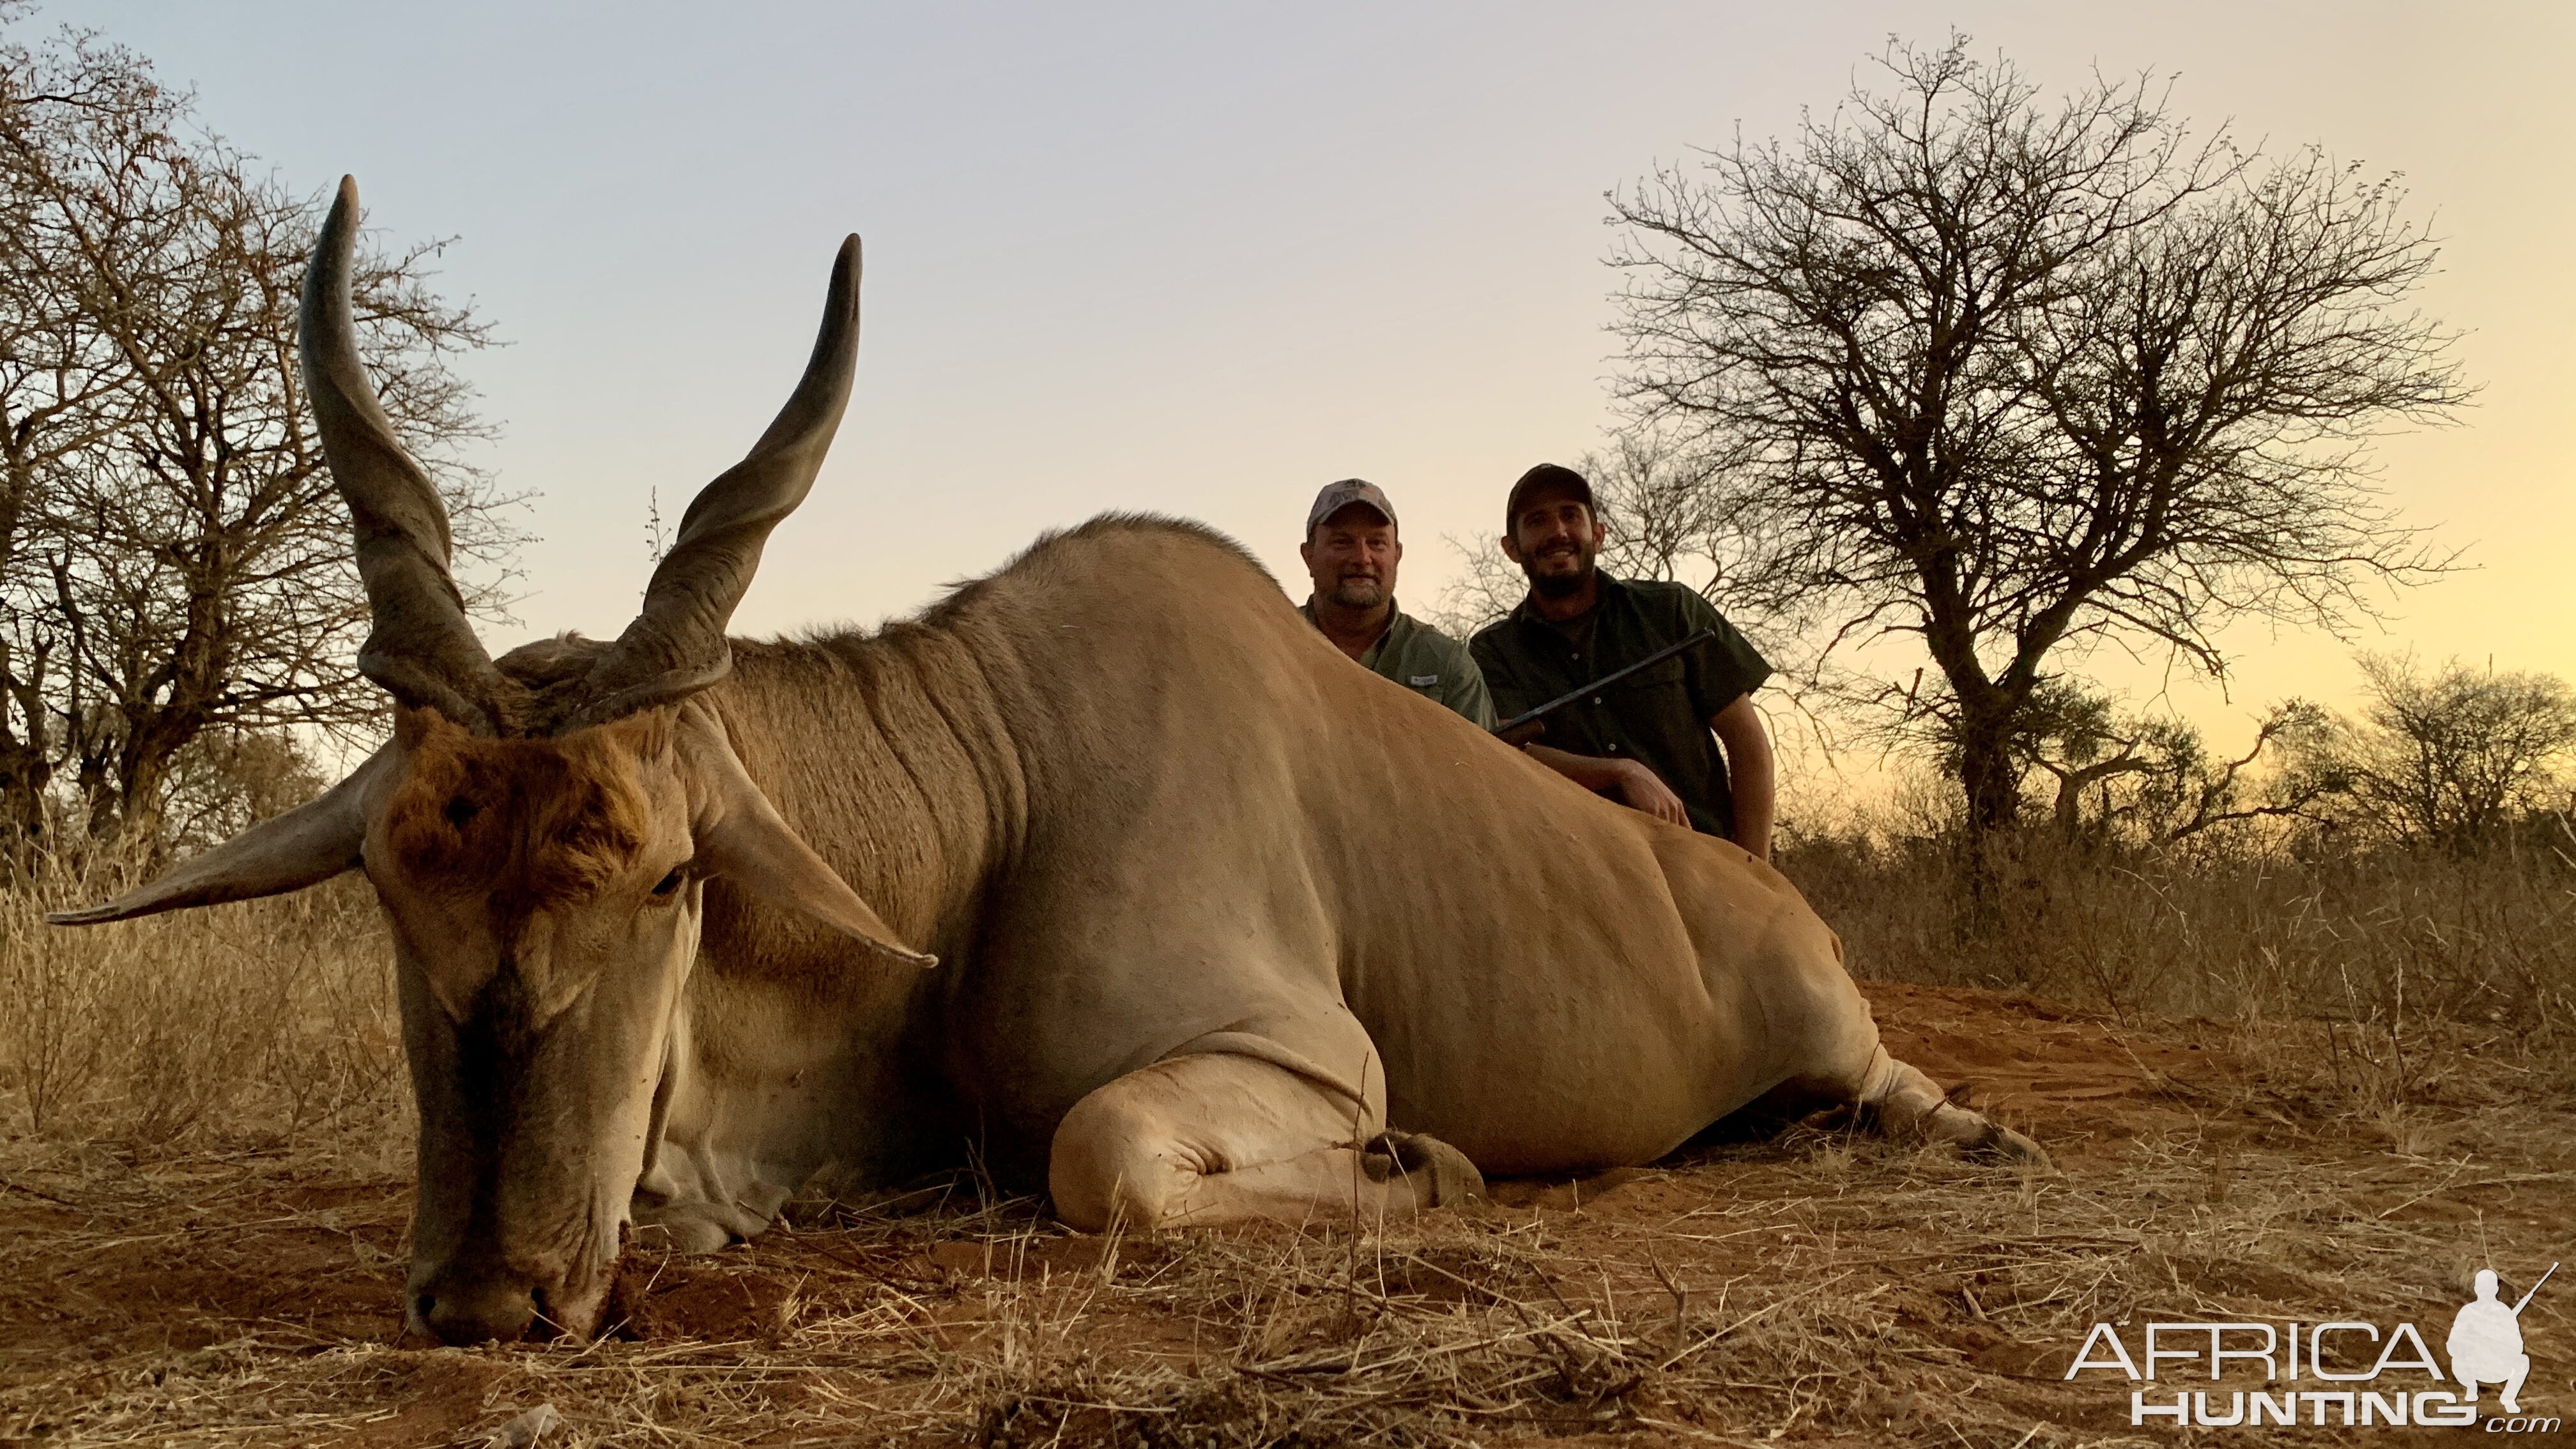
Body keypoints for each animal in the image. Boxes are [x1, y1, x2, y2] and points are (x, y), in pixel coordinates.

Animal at [50, 180, 2040, 1340]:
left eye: (673, 874)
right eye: (398, 883)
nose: (486, 1299)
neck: (995, 792)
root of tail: (1759, 889)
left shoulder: (1294, 1060)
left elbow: (1108, 1161)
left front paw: (1435, 1170)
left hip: (1830, 1032)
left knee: (1883, 1085)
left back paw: (1972, 1126)